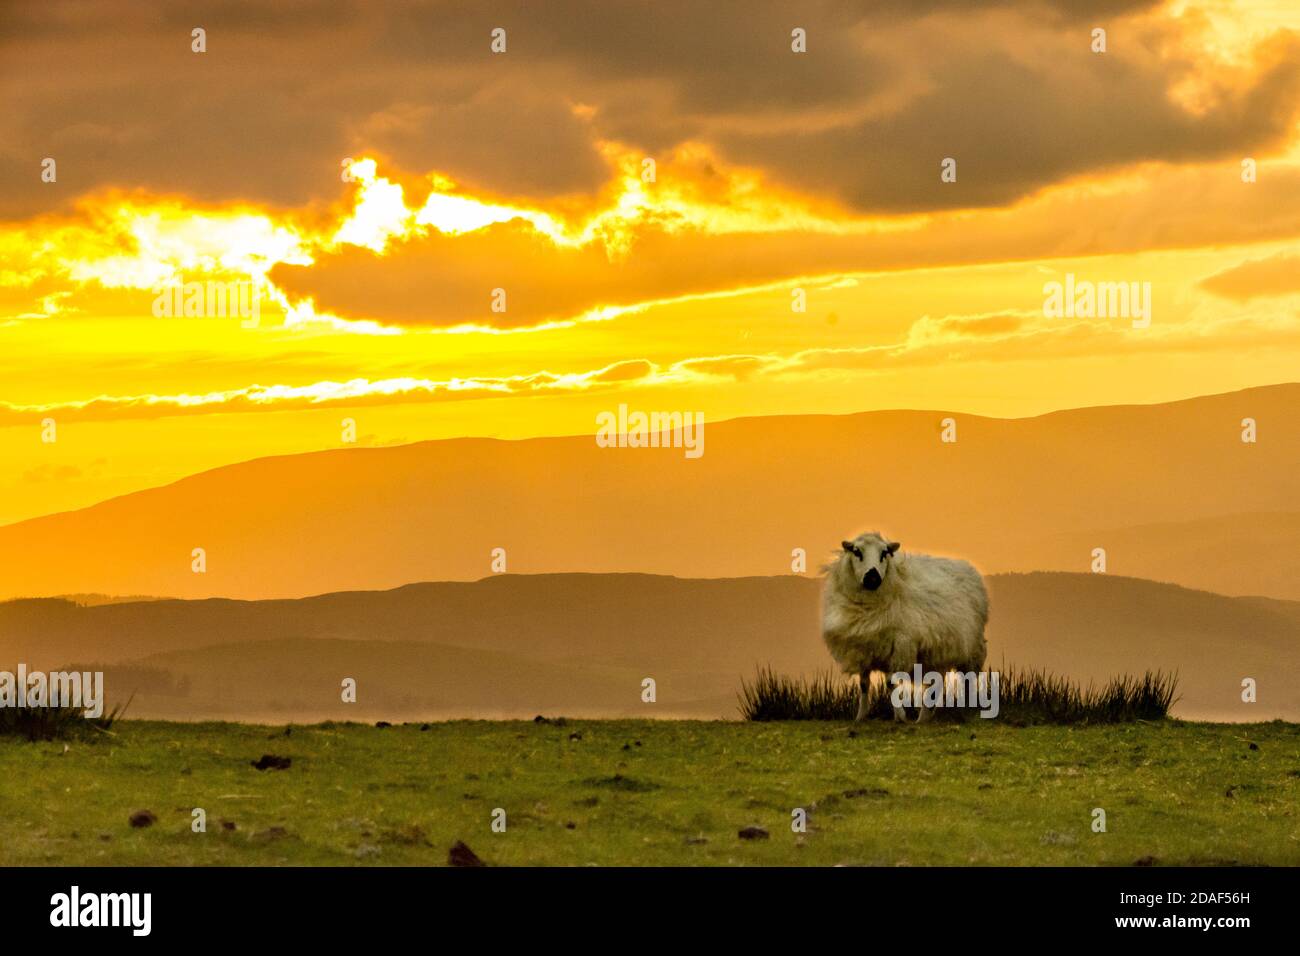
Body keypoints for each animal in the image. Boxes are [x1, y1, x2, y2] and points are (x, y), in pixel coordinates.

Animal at [816, 535, 987, 723]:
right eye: (856, 552)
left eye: (884, 553)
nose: (873, 577)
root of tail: (966, 566)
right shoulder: (863, 649)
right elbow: (864, 684)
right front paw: (861, 716)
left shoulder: (898, 647)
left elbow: (890, 683)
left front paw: (901, 716)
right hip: (936, 653)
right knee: (935, 684)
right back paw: (924, 718)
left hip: (972, 648)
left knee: (968, 679)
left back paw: (965, 710)